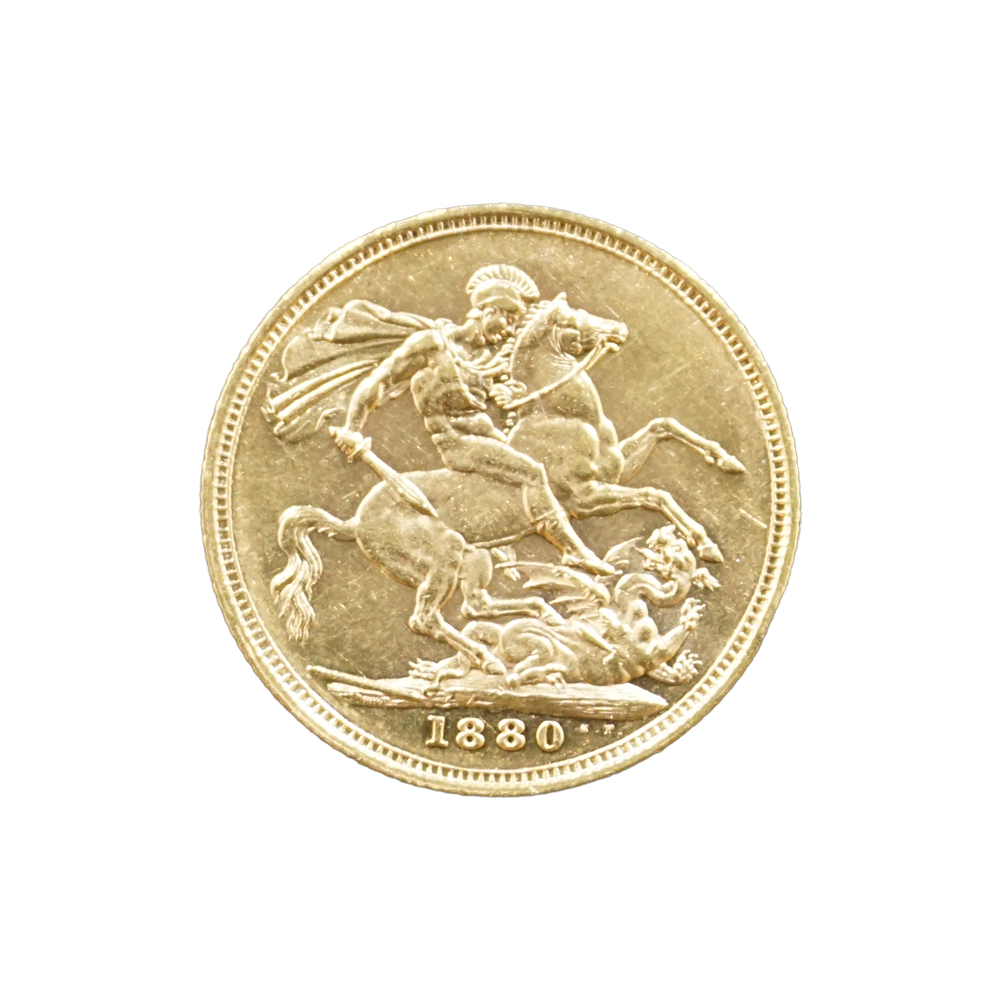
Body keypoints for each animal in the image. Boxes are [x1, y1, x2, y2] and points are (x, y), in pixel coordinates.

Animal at [271, 295, 742, 674]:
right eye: (576, 317)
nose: (619, 330)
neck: (561, 414)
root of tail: (353, 522)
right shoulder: (585, 499)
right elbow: (653, 494)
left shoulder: (617, 471)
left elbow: (664, 429)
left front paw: (727, 464)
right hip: (444, 555)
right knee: (425, 618)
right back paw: (491, 657)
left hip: (475, 555)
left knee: (474, 603)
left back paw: (536, 616)